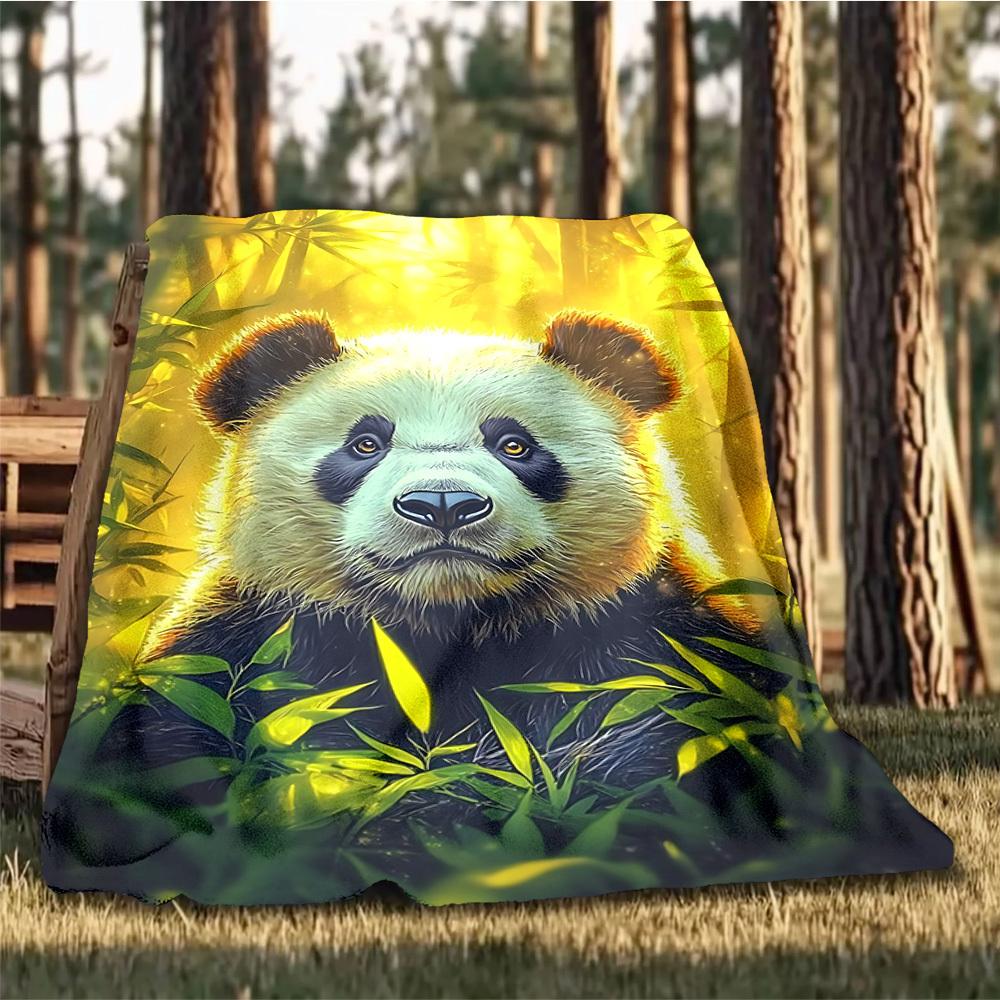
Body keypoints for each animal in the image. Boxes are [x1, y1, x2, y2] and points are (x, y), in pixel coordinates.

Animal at [118, 309, 791, 785]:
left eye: (514, 444)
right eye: (365, 443)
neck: (449, 620)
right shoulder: (240, 646)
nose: (443, 504)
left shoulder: (661, 631)